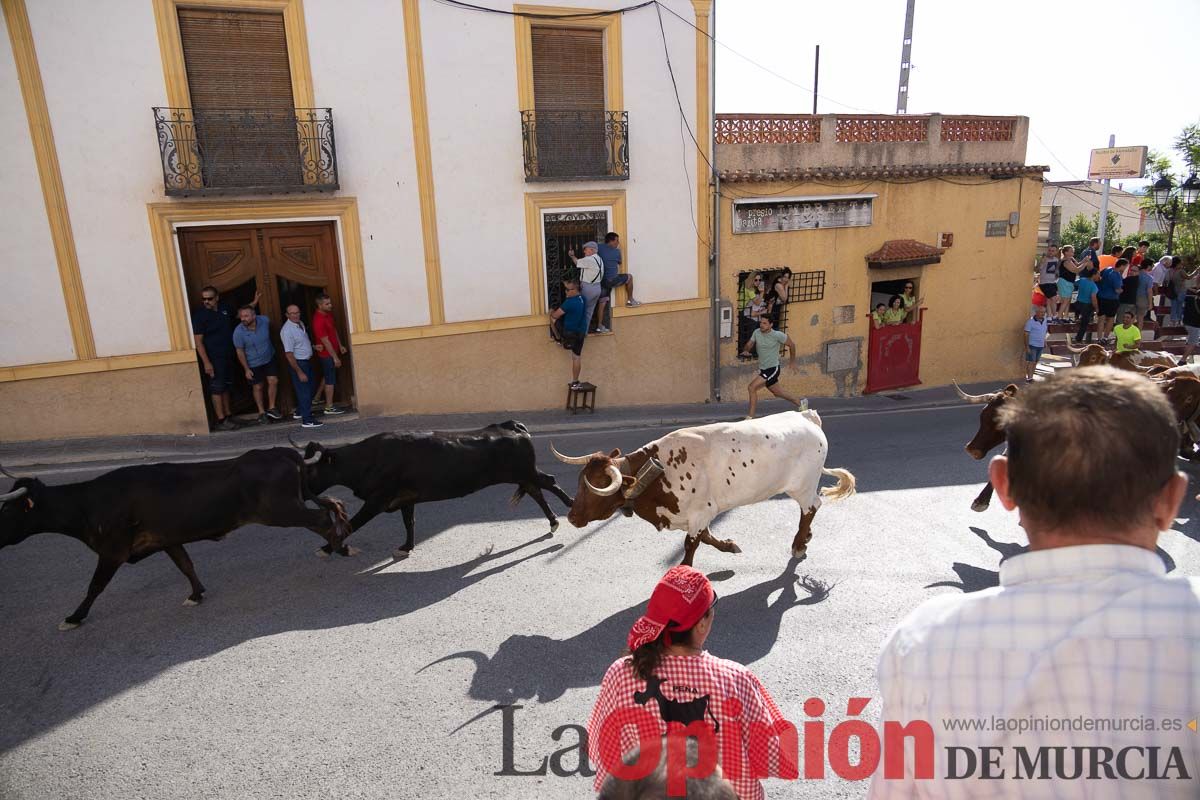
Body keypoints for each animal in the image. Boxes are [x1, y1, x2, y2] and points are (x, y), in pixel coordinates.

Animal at [1, 450, 350, 633]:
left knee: (322, 518)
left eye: (6, 509)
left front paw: (74, 617)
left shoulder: (112, 551)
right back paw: (339, 543)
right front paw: (196, 594)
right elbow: (185, 564)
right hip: (292, 505)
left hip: (283, 511)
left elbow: (94, 586)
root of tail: (281, 452)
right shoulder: (167, 539)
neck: (86, 504)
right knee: (331, 506)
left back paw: (337, 547)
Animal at [291, 422, 571, 554]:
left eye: (310, 471)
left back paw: (568, 507)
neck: (367, 458)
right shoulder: (404, 499)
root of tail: (512, 425)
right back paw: (553, 521)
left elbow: (352, 524)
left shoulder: (377, 500)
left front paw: (326, 548)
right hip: (521, 475)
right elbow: (409, 522)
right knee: (536, 490)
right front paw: (406, 547)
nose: (300, 493)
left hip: (524, 471)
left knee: (549, 481)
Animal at [549, 410, 859, 566]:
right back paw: (806, 539)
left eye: (598, 485)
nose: (572, 516)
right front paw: (730, 546)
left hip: (803, 485)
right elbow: (708, 538)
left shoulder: (700, 512)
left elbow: (691, 546)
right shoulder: (698, 514)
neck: (658, 470)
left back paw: (798, 544)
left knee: (811, 508)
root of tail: (806, 415)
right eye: (580, 480)